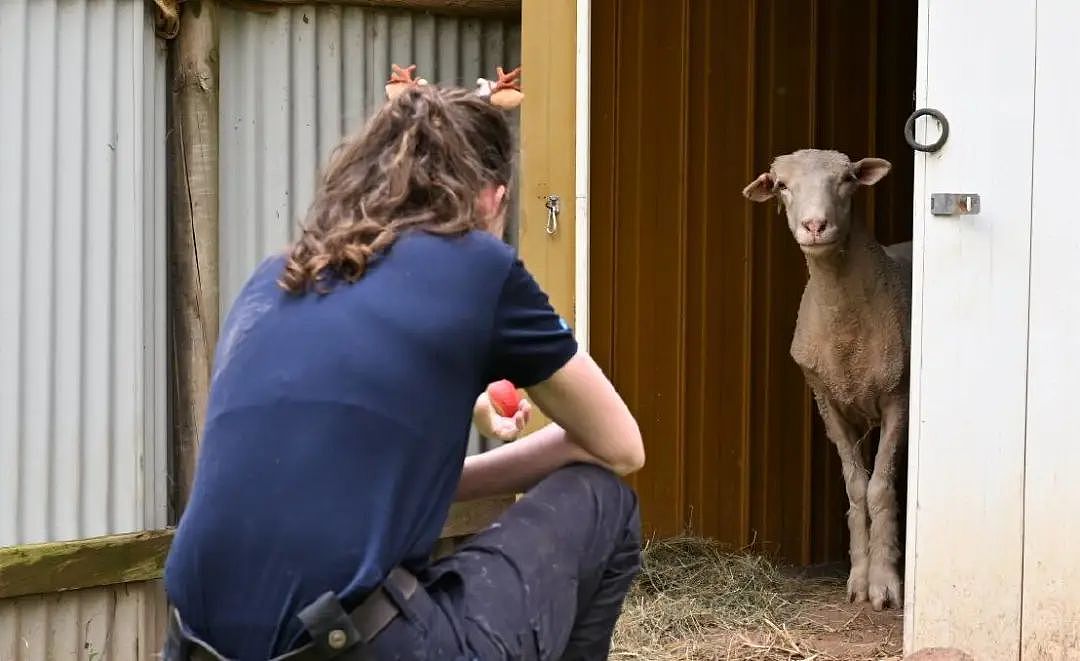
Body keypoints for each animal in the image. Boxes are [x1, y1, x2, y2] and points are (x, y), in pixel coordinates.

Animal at [743, 147, 911, 609]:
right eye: (781, 185)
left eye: (847, 179)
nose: (815, 226)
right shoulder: (828, 402)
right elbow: (856, 488)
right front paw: (859, 578)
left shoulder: (898, 397)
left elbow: (880, 489)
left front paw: (884, 584)